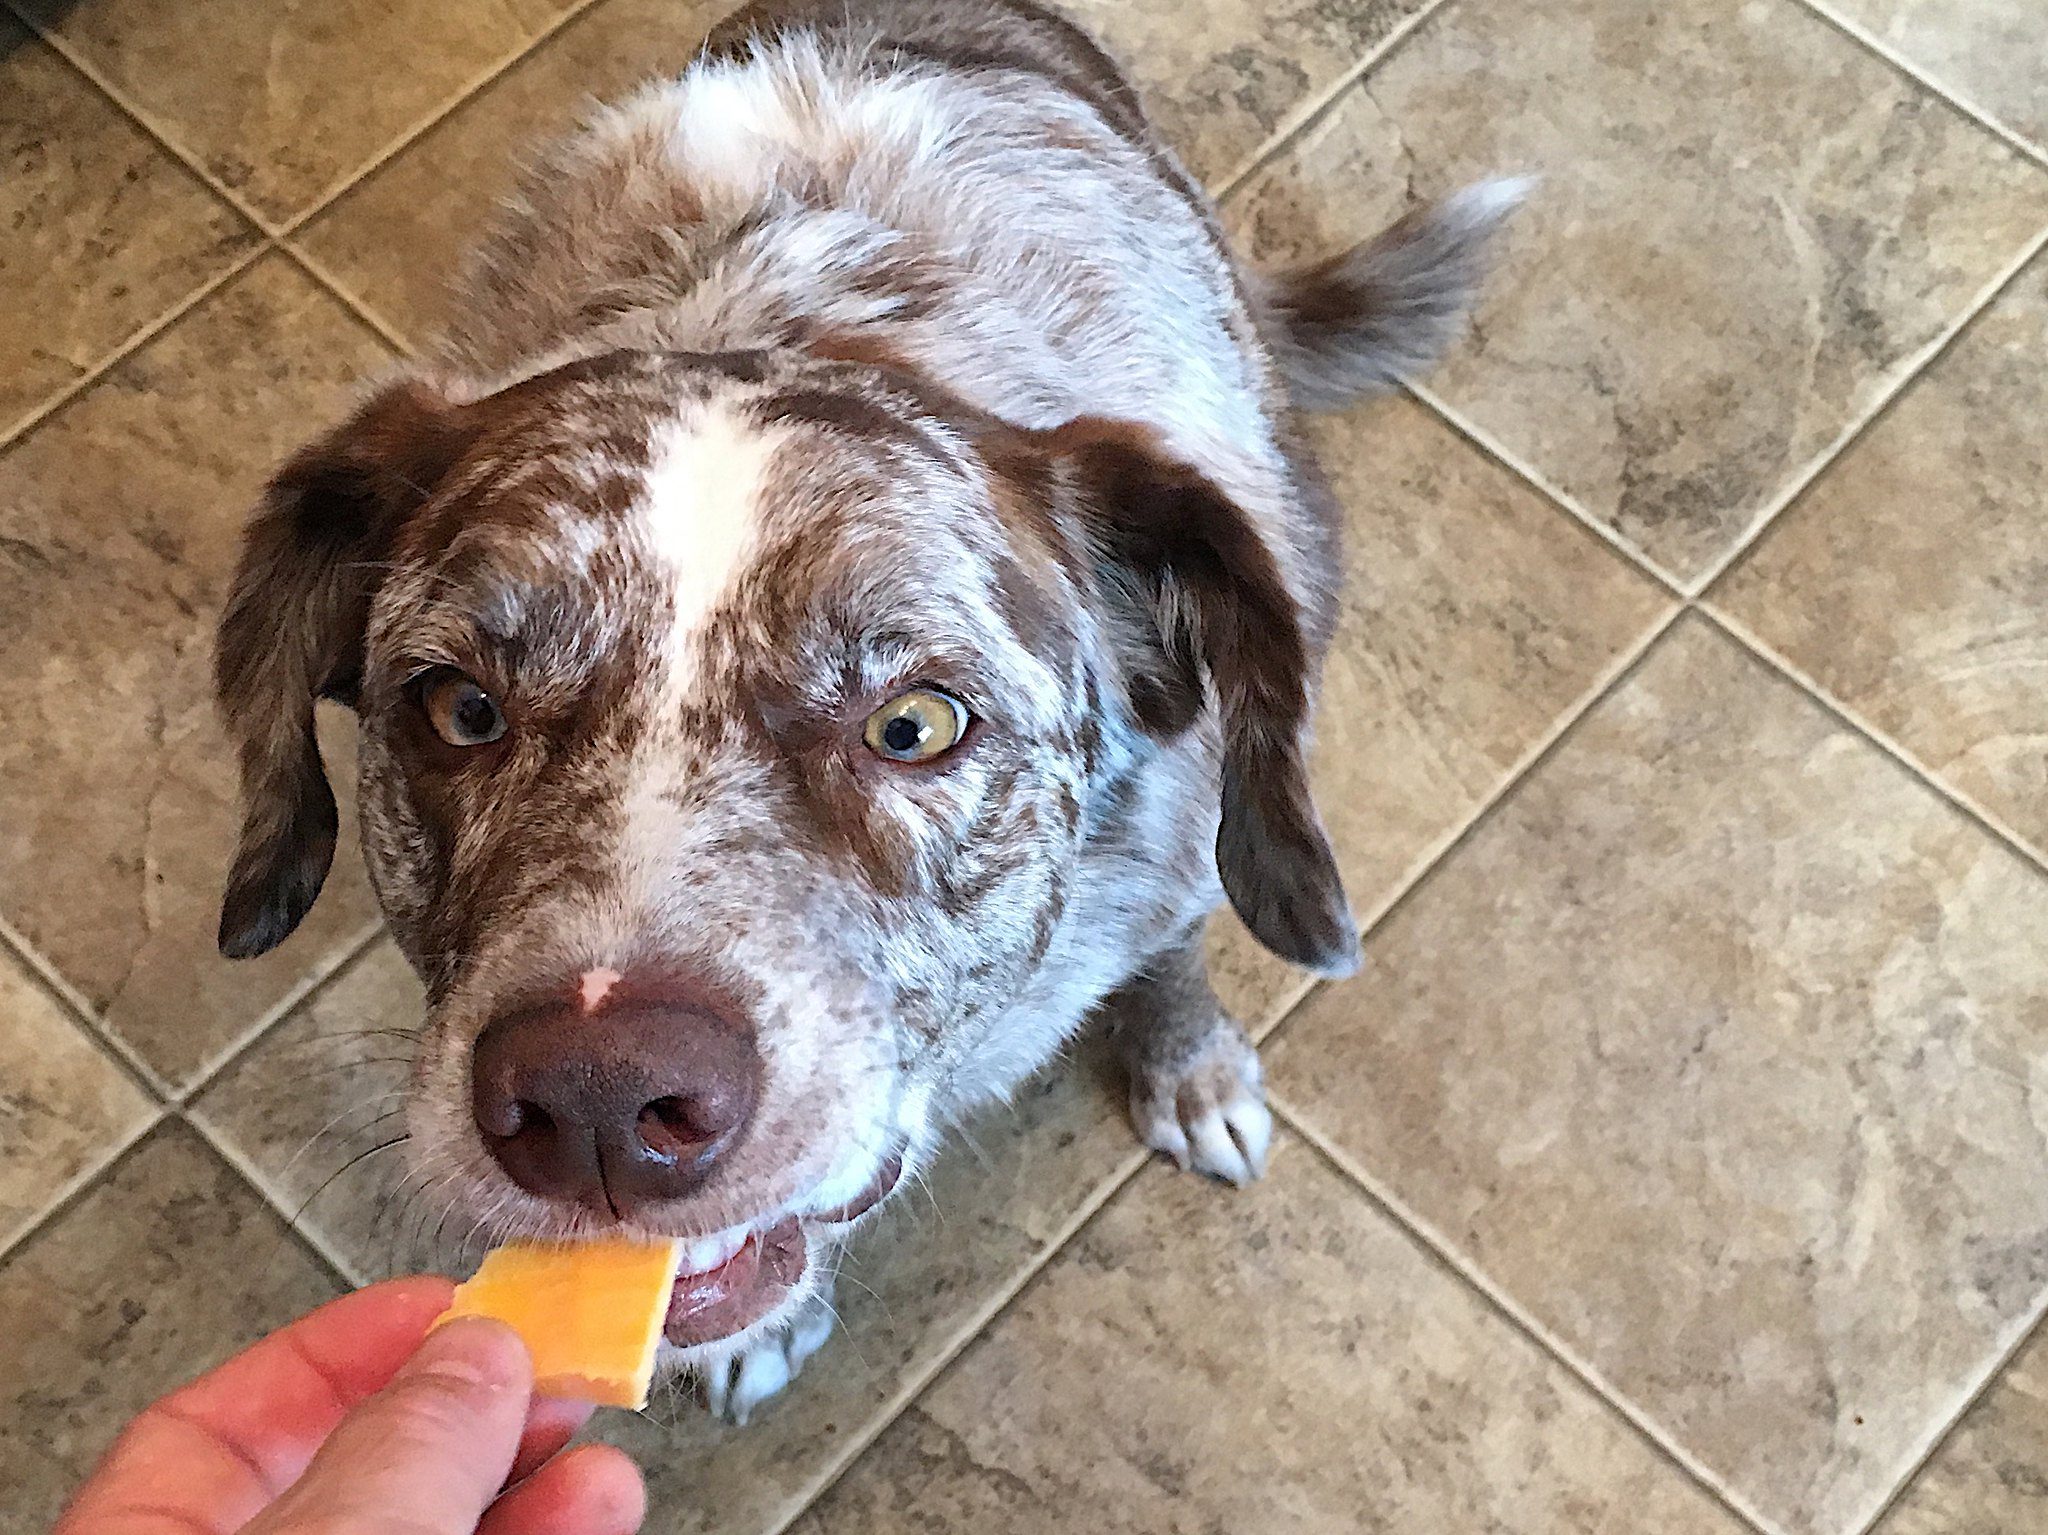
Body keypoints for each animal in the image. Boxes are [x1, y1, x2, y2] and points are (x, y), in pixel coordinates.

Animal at [216, 0, 1515, 1424]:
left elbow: (1172, 949)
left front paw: (1191, 1067)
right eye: (459, 707)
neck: (800, 311)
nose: (598, 1098)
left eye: (916, 724)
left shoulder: (1182, 841)